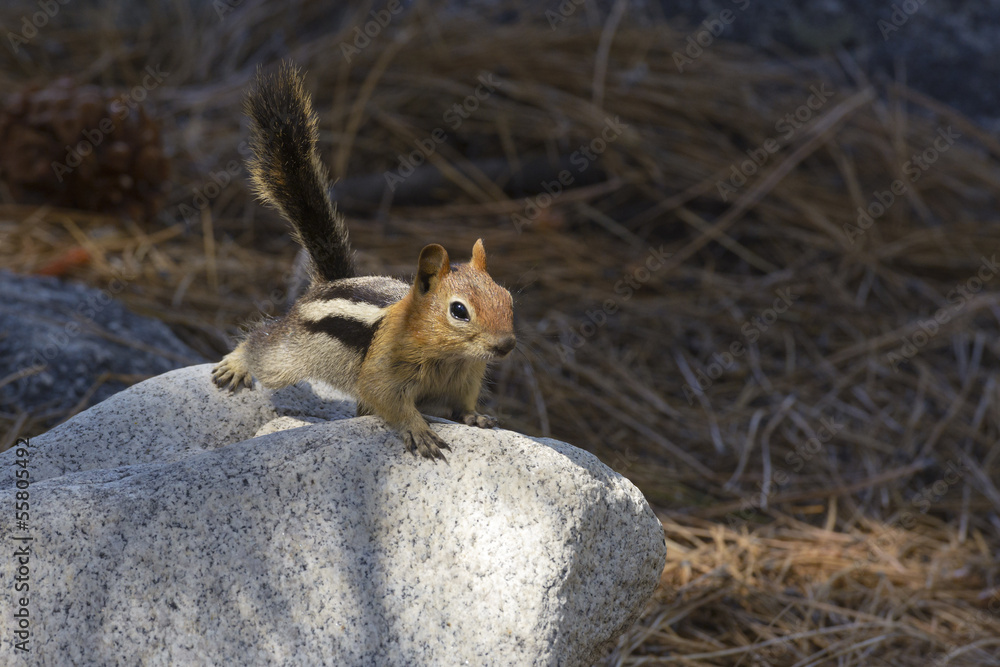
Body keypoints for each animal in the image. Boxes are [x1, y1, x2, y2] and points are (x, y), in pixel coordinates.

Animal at [212, 63, 516, 461]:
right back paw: (236, 363)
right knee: (262, 345)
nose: (506, 345)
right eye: (459, 311)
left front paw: (476, 416)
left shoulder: (468, 377)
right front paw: (419, 429)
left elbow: (462, 405)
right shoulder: (383, 371)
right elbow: (386, 399)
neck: (451, 356)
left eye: (509, 299)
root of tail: (328, 284)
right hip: (289, 354)